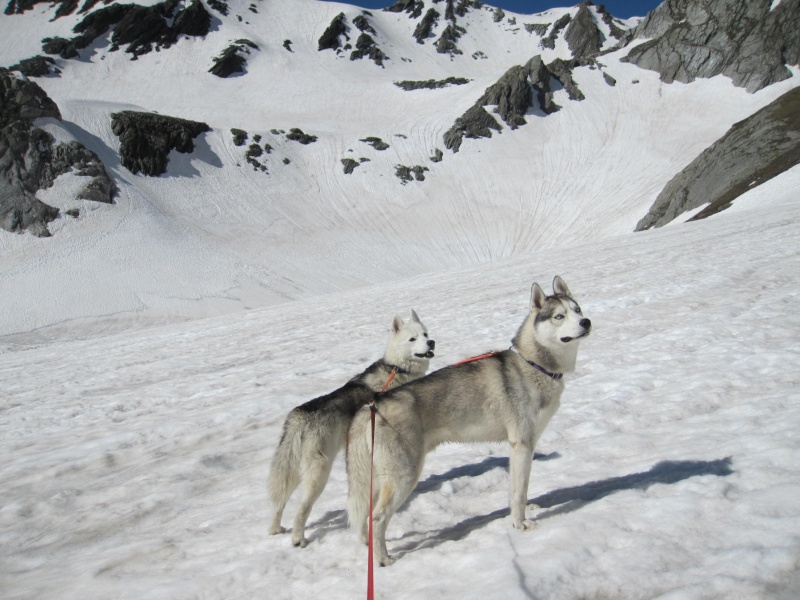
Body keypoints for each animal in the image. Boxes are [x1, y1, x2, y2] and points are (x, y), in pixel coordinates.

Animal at [268, 312, 434, 548]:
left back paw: (275, 528)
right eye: (412, 339)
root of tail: (301, 414)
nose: (431, 343)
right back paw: (299, 538)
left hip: (291, 468)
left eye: (425, 334)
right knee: (302, 509)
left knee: (279, 500)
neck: (397, 368)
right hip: (319, 473)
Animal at [346, 278, 592, 564]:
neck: (534, 364)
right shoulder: (522, 444)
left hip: (377, 480)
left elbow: (520, 488)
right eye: (558, 316)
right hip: (403, 476)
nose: (586, 322)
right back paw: (383, 560)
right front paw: (519, 524)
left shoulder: (520, 449)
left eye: (577, 309)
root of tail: (372, 406)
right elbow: (519, 492)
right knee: (377, 517)